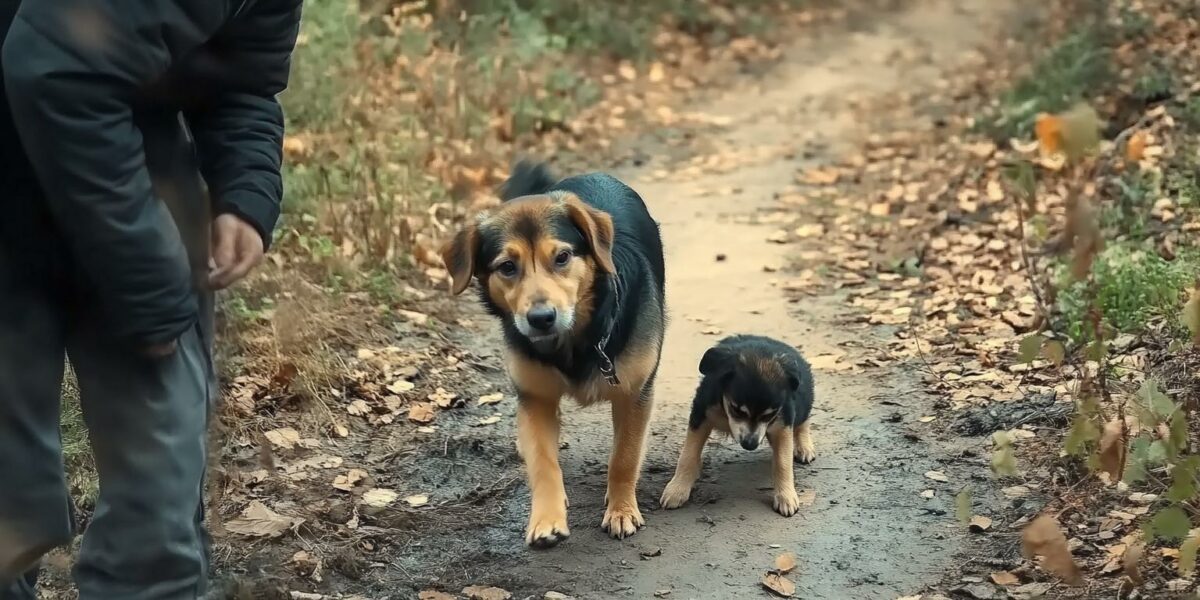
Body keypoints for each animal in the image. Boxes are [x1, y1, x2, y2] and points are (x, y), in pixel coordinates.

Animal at [441, 160, 667, 549]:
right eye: (507, 267)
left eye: (562, 257)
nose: (542, 318)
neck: (575, 341)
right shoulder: (536, 398)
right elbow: (543, 463)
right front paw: (547, 519)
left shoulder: (635, 394)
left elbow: (624, 457)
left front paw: (621, 509)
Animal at [657, 336, 816, 518]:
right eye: (737, 409)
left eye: (769, 415)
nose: (750, 445)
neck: (725, 411)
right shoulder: (701, 412)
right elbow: (688, 455)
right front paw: (677, 489)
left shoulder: (783, 421)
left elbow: (783, 462)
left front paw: (786, 496)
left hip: (802, 402)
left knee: (804, 420)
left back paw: (804, 447)